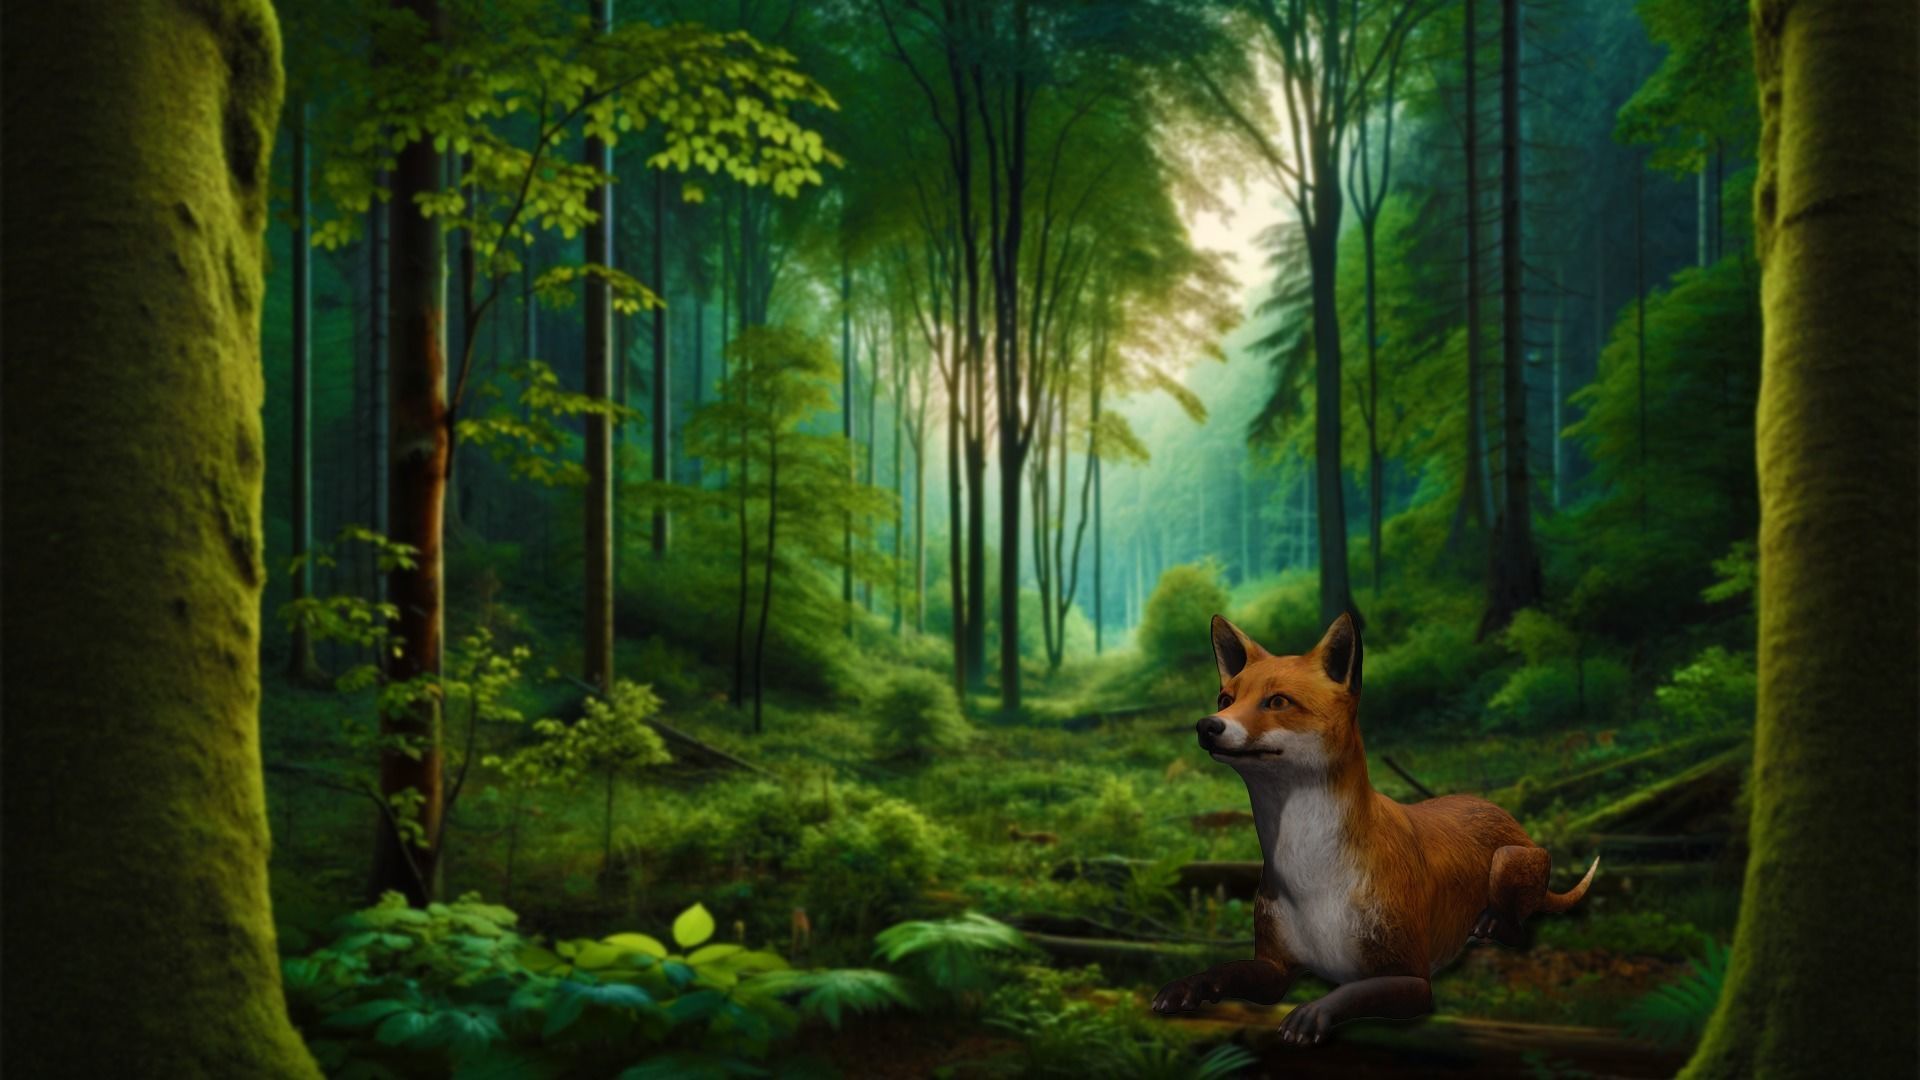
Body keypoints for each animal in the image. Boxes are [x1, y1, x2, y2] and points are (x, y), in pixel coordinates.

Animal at [1151, 613, 1598, 1046]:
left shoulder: (1413, 979)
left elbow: (1351, 991)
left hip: (1506, 861)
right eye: (1226, 700)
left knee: (1518, 927)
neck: (1313, 879)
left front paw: (1313, 1012)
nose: (1207, 726)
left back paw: (1489, 924)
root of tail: (1501, 812)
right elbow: (1226, 971)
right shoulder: (1274, 967)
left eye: (1277, 701)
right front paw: (1187, 987)